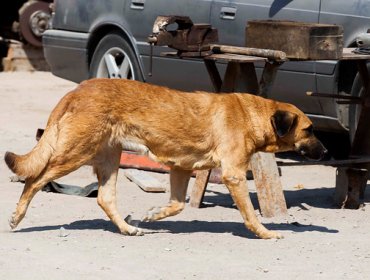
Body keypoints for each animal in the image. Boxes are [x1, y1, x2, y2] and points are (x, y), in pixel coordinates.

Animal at [3, 79, 326, 238]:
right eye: (309, 130)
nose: (325, 153)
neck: (253, 115)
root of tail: (77, 90)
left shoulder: (181, 168)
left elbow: (177, 205)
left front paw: (153, 214)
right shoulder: (233, 174)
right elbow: (249, 212)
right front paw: (264, 233)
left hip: (109, 157)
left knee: (105, 199)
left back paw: (129, 229)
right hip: (74, 153)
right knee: (34, 179)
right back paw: (17, 217)